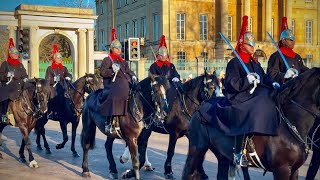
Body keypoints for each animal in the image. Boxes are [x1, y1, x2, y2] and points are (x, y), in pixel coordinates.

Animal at [182, 67, 320, 180]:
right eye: (210, 87)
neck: (290, 124)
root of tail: (200, 108)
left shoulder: (294, 170)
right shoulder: (282, 169)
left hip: (222, 156)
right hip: (197, 148)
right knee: (188, 173)